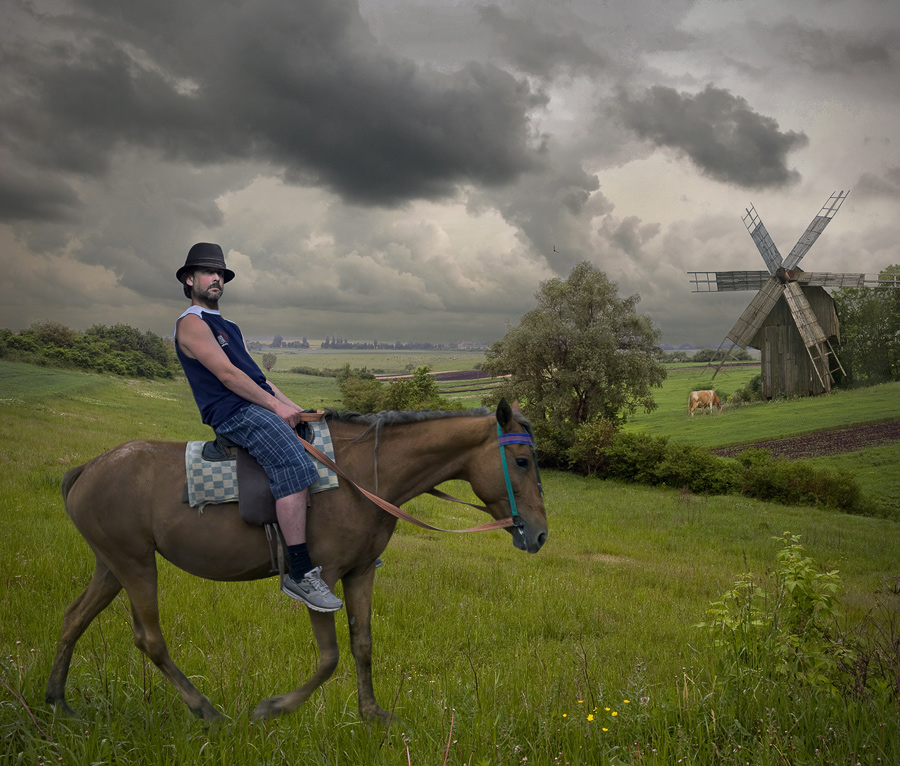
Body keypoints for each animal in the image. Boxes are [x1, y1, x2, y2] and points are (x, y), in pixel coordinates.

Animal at [47, 402, 548, 728]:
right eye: (522, 461)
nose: (540, 534)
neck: (360, 476)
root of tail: (89, 467)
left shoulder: (360, 572)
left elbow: (362, 644)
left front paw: (372, 715)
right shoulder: (322, 576)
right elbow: (329, 658)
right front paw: (275, 708)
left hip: (112, 565)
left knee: (73, 618)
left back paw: (59, 703)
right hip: (134, 564)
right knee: (149, 639)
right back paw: (207, 711)